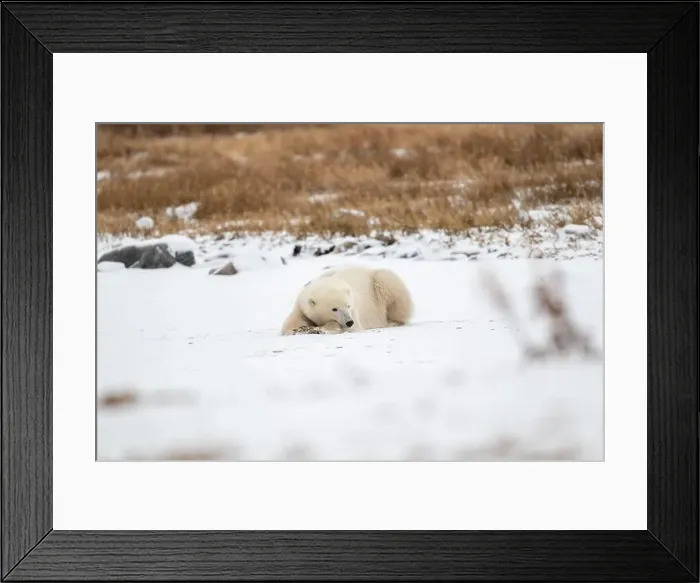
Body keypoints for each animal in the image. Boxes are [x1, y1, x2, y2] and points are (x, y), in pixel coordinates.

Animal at [281, 265, 414, 335]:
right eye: (334, 309)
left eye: (348, 305)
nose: (349, 322)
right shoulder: (301, 306)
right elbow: (292, 321)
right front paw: (298, 329)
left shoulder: (355, 314)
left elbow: (349, 327)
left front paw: (319, 329)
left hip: (381, 282)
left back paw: (393, 322)